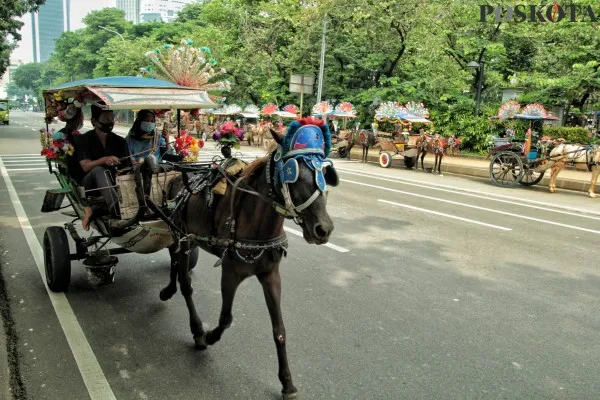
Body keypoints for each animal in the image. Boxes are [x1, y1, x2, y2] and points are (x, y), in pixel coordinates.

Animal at [158, 126, 338, 398]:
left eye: (324, 174)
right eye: (292, 174)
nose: (323, 229)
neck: (255, 223)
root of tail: (175, 175)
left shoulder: (271, 275)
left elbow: (280, 330)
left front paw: (287, 382)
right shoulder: (230, 272)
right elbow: (225, 318)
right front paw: (208, 337)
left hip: (181, 237)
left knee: (175, 261)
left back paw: (168, 290)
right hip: (183, 236)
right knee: (185, 282)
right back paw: (197, 328)